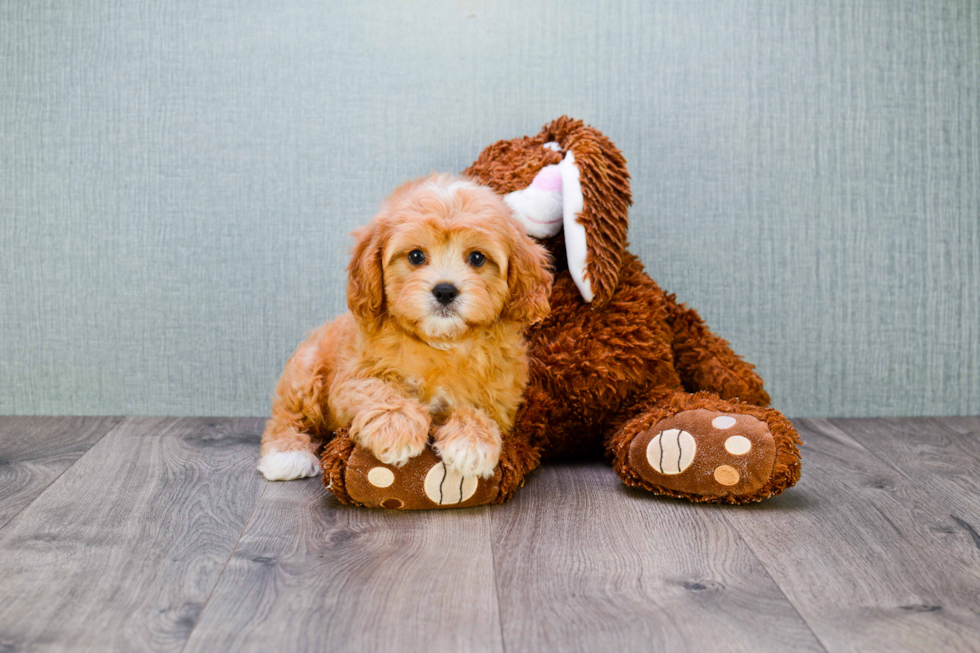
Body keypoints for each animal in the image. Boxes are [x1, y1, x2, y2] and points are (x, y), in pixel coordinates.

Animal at [258, 176, 552, 482]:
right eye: (415, 256)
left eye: (477, 258)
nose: (445, 290)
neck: (441, 343)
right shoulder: (351, 378)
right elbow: (379, 390)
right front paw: (397, 426)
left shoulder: (501, 396)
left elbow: (480, 410)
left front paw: (472, 442)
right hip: (306, 371)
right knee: (289, 415)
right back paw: (287, 454)